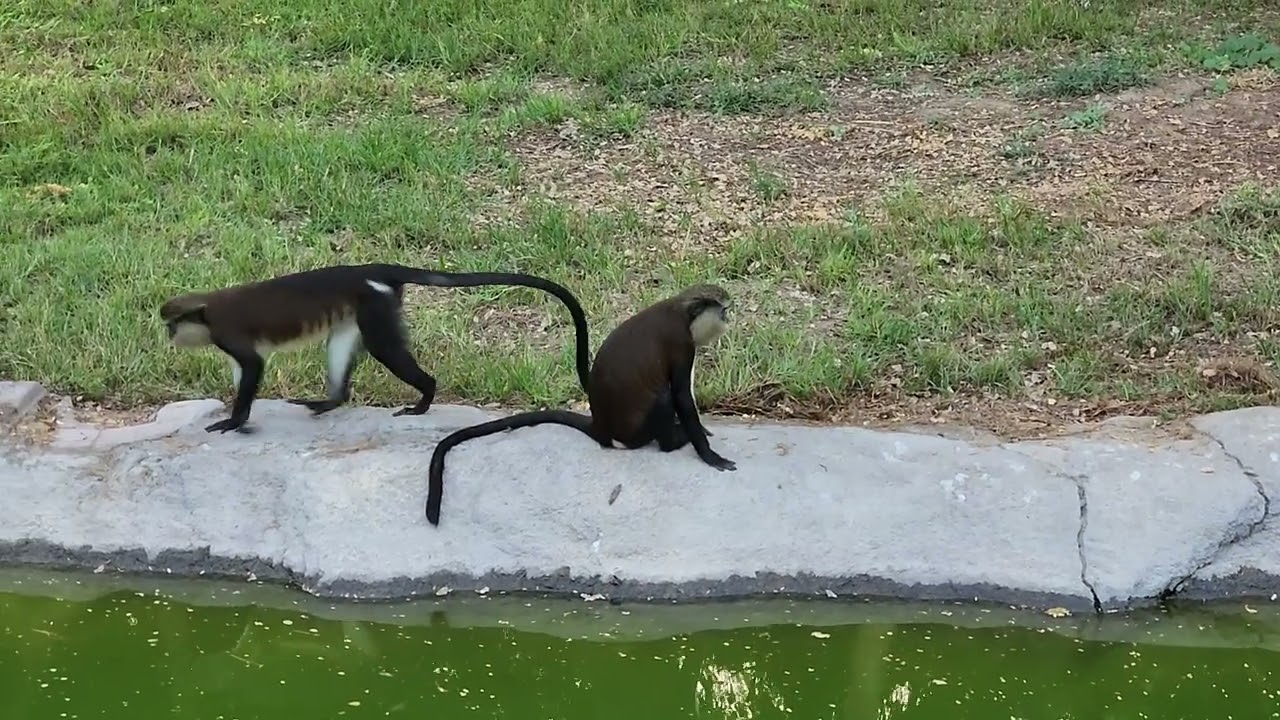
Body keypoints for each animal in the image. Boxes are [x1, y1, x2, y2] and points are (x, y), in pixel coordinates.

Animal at [159, 263, 591, 434]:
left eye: (172, 322)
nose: (168, 335)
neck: (207, 310)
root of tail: (372, 270)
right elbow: (244, 371)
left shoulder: (228, 334)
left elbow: (251, 367)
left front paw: (234, 421)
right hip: (359, 311)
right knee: (341, 346)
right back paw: (331, 400)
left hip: (376, 307)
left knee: (386, 349)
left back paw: (425, 396)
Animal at [424, 283, 736, 526]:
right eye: (723, 311)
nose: (728, 321)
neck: (681, 311)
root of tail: (601, 429)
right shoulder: (682, 344)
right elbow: (681, 395)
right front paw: (709, 455)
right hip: (637, 431)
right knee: (664, 397)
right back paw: (673, 440)